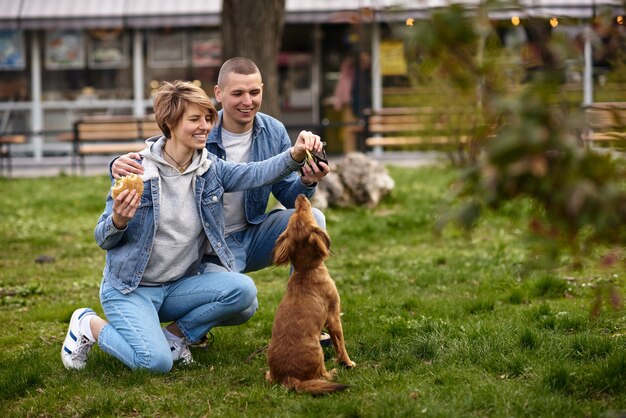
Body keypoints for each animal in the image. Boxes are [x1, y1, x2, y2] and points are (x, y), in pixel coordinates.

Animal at [264, 194, 354, 394]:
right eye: (303, 212)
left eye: (298, 213)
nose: (301, 195)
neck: (306, 270)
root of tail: (289, 377)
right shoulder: (334, 317)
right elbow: (341, 345)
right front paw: (348, 363)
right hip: (319, 352)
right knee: (321, 374)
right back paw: (332, 373)